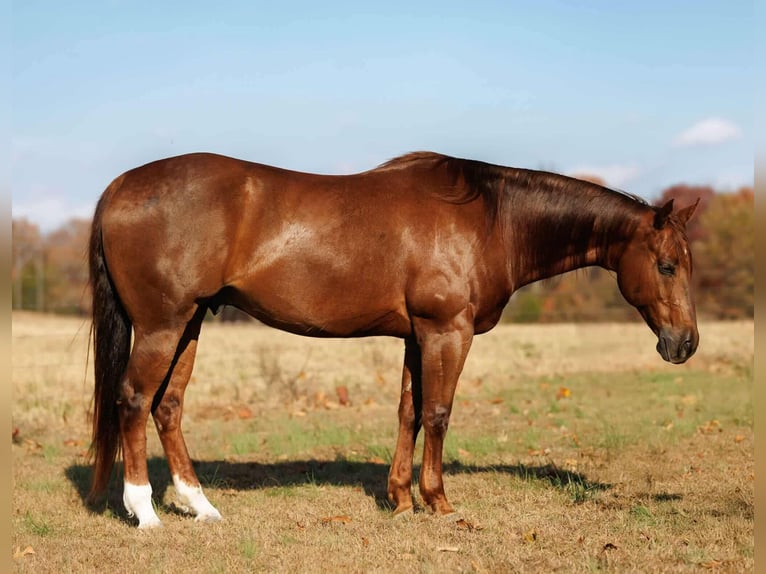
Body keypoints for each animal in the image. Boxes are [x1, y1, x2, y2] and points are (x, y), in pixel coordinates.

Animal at [87, 151, 699, 528]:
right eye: (666, 265)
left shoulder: (416, 335)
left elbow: (409, 411)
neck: (490, 219)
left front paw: (401, 499)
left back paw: (201, 506)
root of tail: (119, 186)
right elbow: (438, 413)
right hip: (163, 326)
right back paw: (145, 512)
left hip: (190, 324)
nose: (685, 344)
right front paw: (439, 502)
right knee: (133, 401)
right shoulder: (447, 331)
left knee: (168, 406)